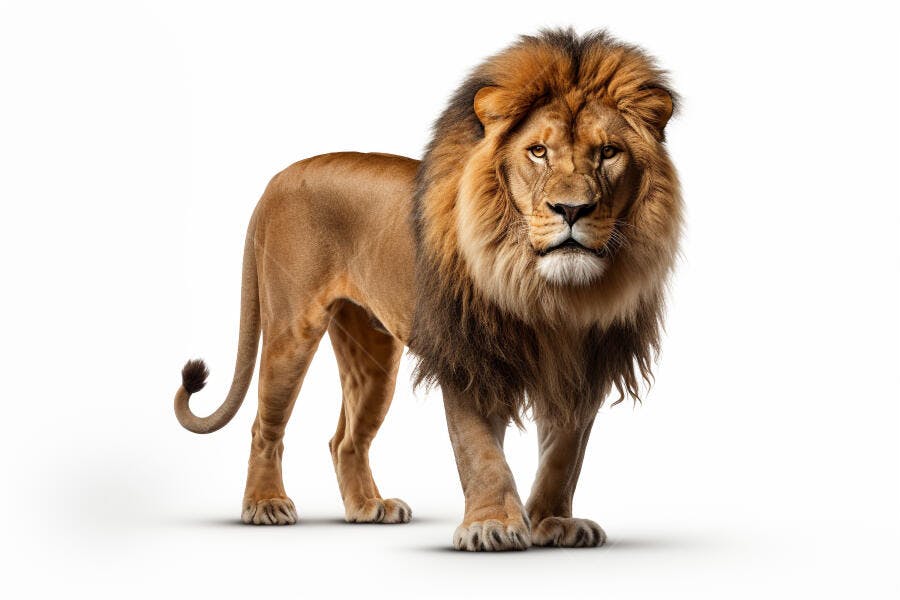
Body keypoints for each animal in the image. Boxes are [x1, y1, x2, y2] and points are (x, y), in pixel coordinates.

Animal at [174, 29, 682, 551]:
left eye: (608, 152)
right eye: (538, 151)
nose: (572, 209)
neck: (545, 291)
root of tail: (278, 178)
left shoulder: (585, 364)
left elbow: (565, 454)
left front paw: (553, 522)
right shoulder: (467, 355)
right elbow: (480, 451)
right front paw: (492, 525)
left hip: (373, 355)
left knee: (346, 439)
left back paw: (368, 507)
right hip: (290, 328)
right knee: (264, 425)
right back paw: (265, 504)